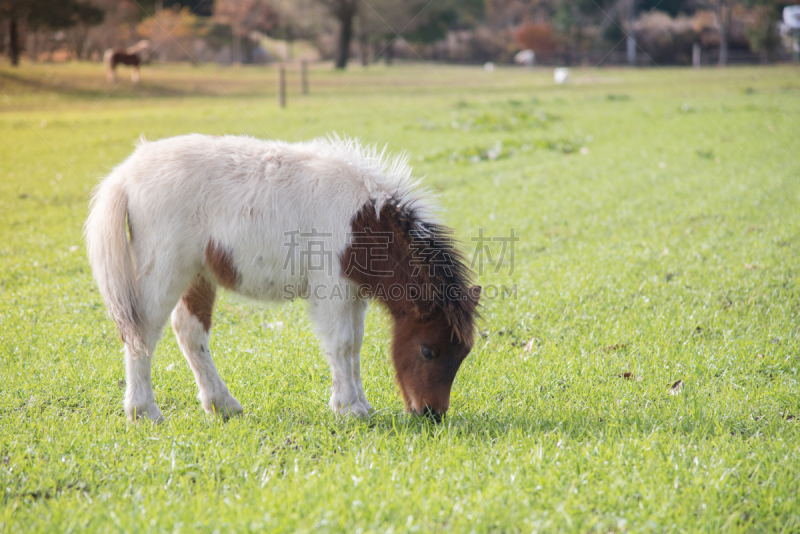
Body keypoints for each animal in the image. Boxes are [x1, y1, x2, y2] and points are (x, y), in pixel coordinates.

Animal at [86, 136, 482, 426]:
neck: (362, 225)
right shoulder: (333, 290)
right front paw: (348, 409)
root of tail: (127, 173)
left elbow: (354, 346)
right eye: (427, 350)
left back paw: (222, 404)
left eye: (462, 354)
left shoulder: (354, 293)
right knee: (142, 331)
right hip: (166, 270)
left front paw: (361, 404)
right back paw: (144, 412)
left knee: (189, 330)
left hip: (198, 274)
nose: (431, 414)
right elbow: (341, 345)